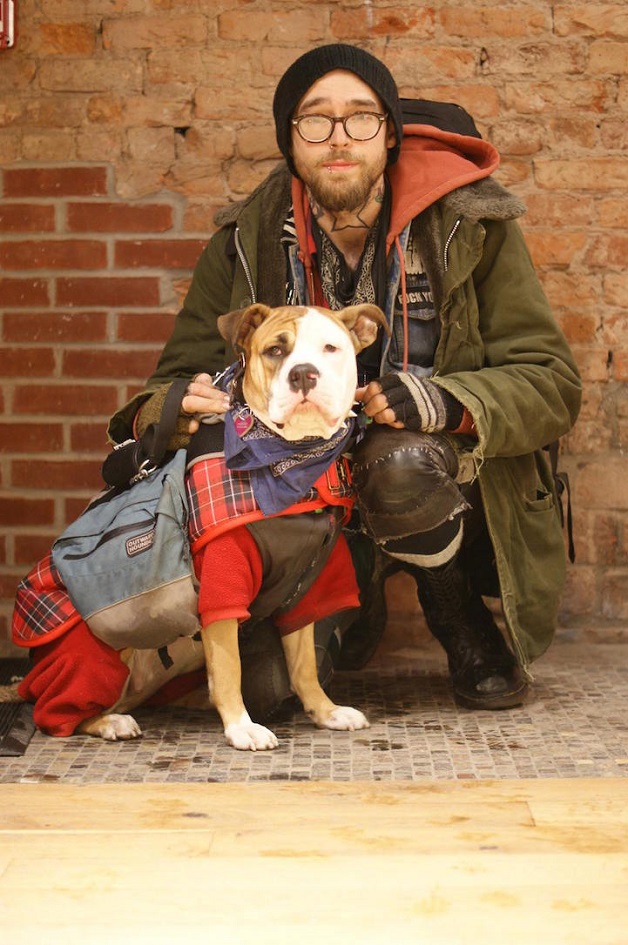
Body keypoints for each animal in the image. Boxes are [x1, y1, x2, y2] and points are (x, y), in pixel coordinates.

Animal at [3, 302, 388, 752]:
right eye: (275, 350)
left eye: (331, 348)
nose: (304, 374)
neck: (290, 460)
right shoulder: (222, 582)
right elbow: (229, 667)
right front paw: (241, 726)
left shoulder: (309, 583)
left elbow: (304, 663)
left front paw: (325, 711)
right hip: (95, 653)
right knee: (54, 712)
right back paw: (108, 722)